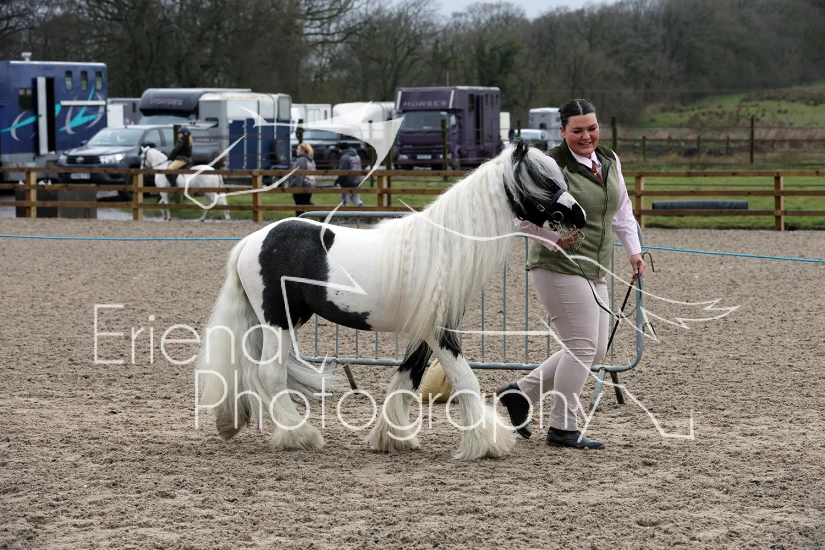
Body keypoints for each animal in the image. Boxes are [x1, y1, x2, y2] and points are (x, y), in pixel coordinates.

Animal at [196, 140, 586, 461]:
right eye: (545, 180)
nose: (579, 215)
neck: (444, 248)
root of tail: (253, 241)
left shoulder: (425, 331)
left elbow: (406, 380)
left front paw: (392, 437)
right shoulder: (440, 331)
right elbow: (465, 380)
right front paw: (487, 443)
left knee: (252, 372)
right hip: (278, 319)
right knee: (269, 374)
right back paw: (300, 436)